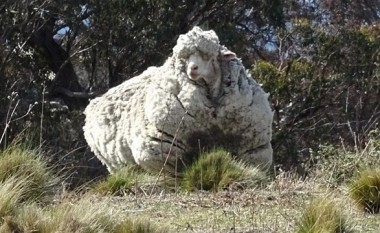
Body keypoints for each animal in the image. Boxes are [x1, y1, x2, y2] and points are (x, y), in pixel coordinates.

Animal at [84, 26, 274, 174]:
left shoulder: (253, 149)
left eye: (209, 56)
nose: (192, 68)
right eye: (184, 58)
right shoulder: (162, 150)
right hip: (115, 164)